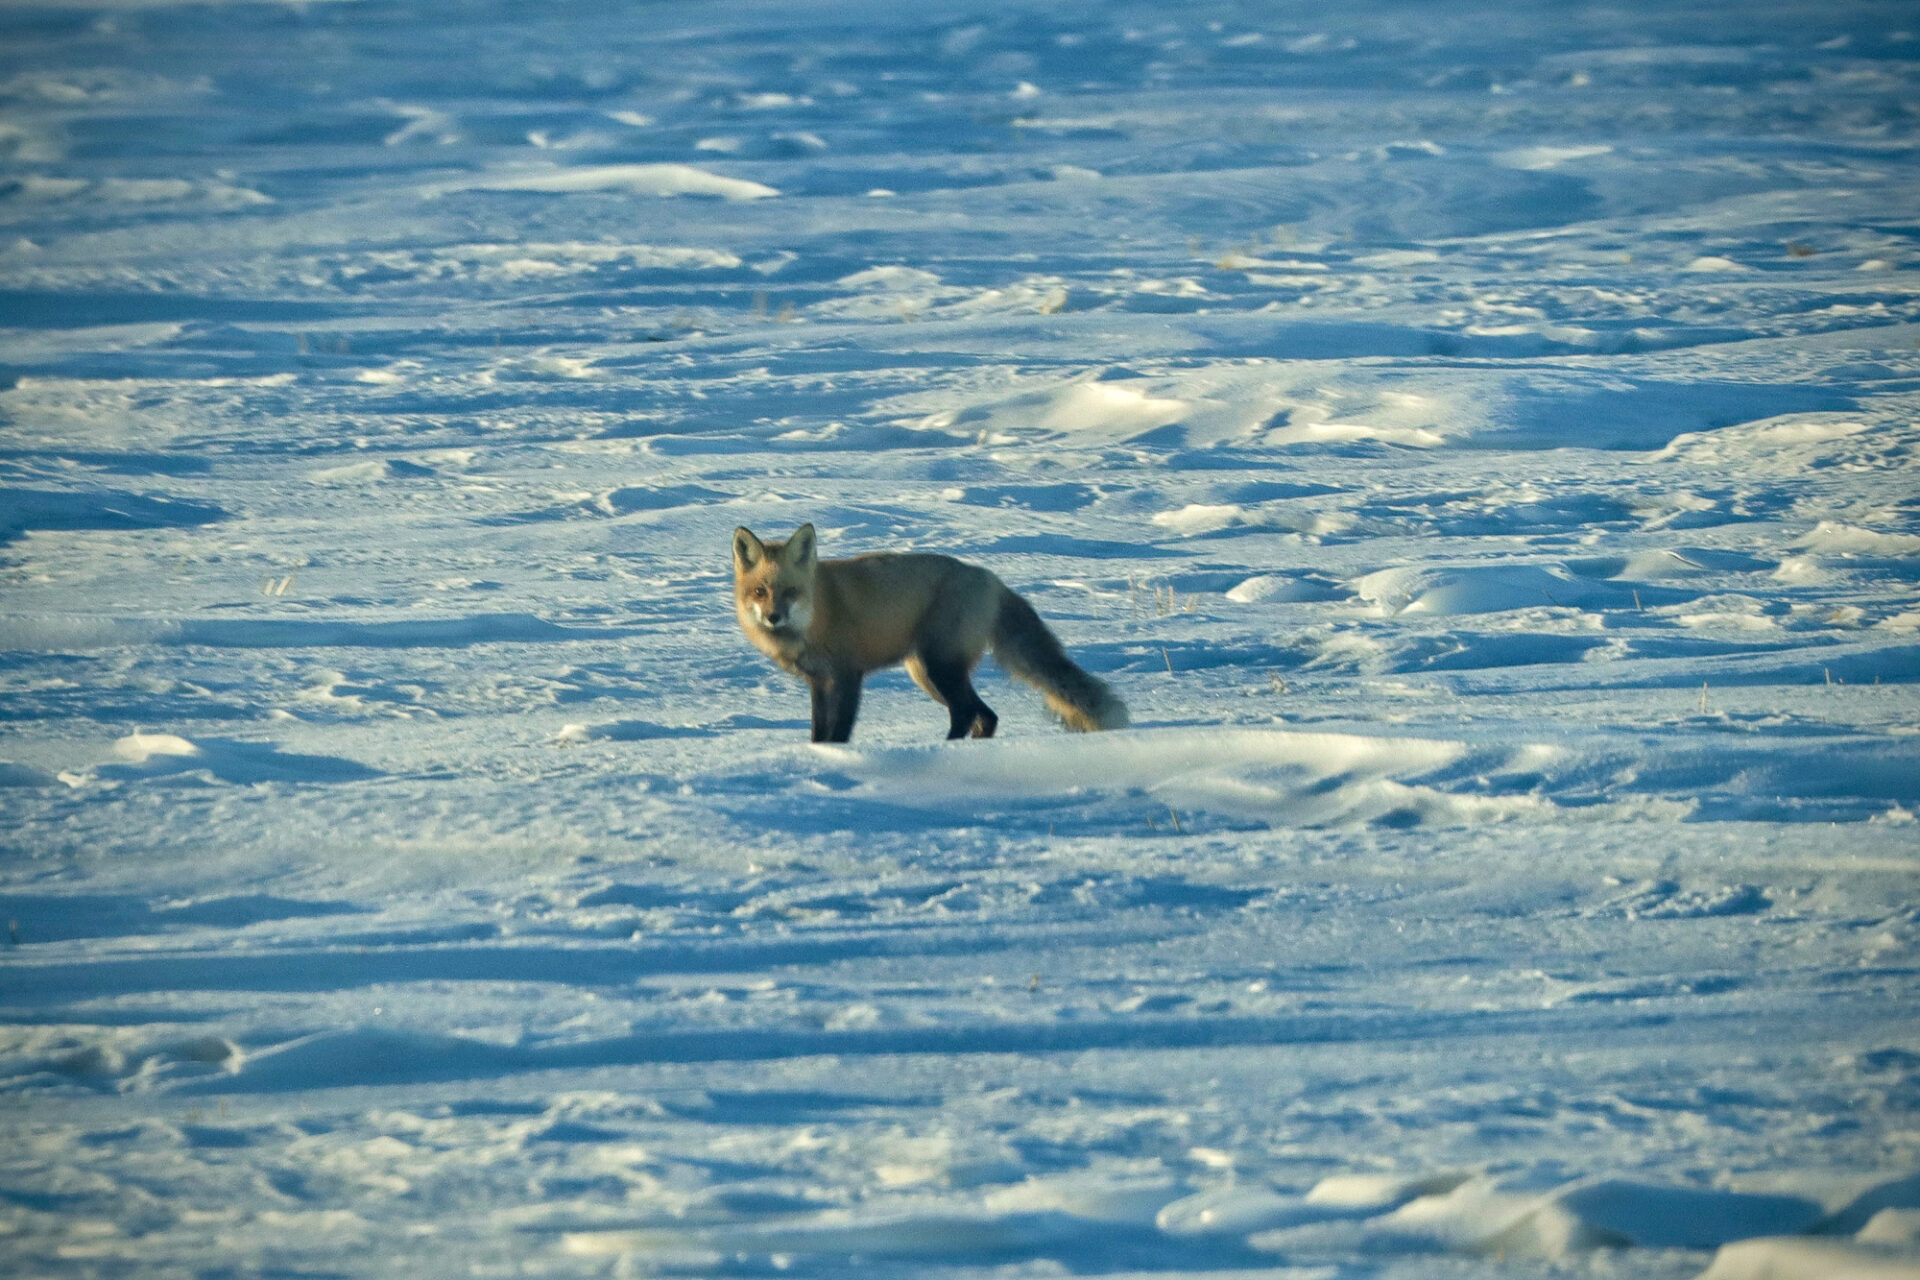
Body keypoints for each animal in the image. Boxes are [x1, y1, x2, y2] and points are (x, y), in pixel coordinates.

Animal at [732, 522, 1129, 743]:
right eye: (760, 592)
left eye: (790, 592)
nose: (773, 617)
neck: (817, 615)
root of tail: (990, 578)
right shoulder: (819, 682)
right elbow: (819, 732)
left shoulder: (847, 675)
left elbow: (839, 732)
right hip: (927, 673)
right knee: (986, 714)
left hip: (938, 667)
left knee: (967, 712)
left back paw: (945, 749)